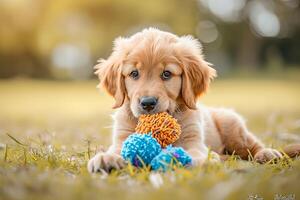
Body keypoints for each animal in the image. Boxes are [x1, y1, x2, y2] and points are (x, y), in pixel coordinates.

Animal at [88, 27, 296, 173]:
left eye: (166, 74)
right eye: (134, 73)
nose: (147, 103)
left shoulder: (194, 141)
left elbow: (193, 152)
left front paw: (194, 160)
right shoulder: (122, 138)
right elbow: (117, 150)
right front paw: (106, 159)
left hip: (233, 128)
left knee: (252, 146)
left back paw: (267, 153)